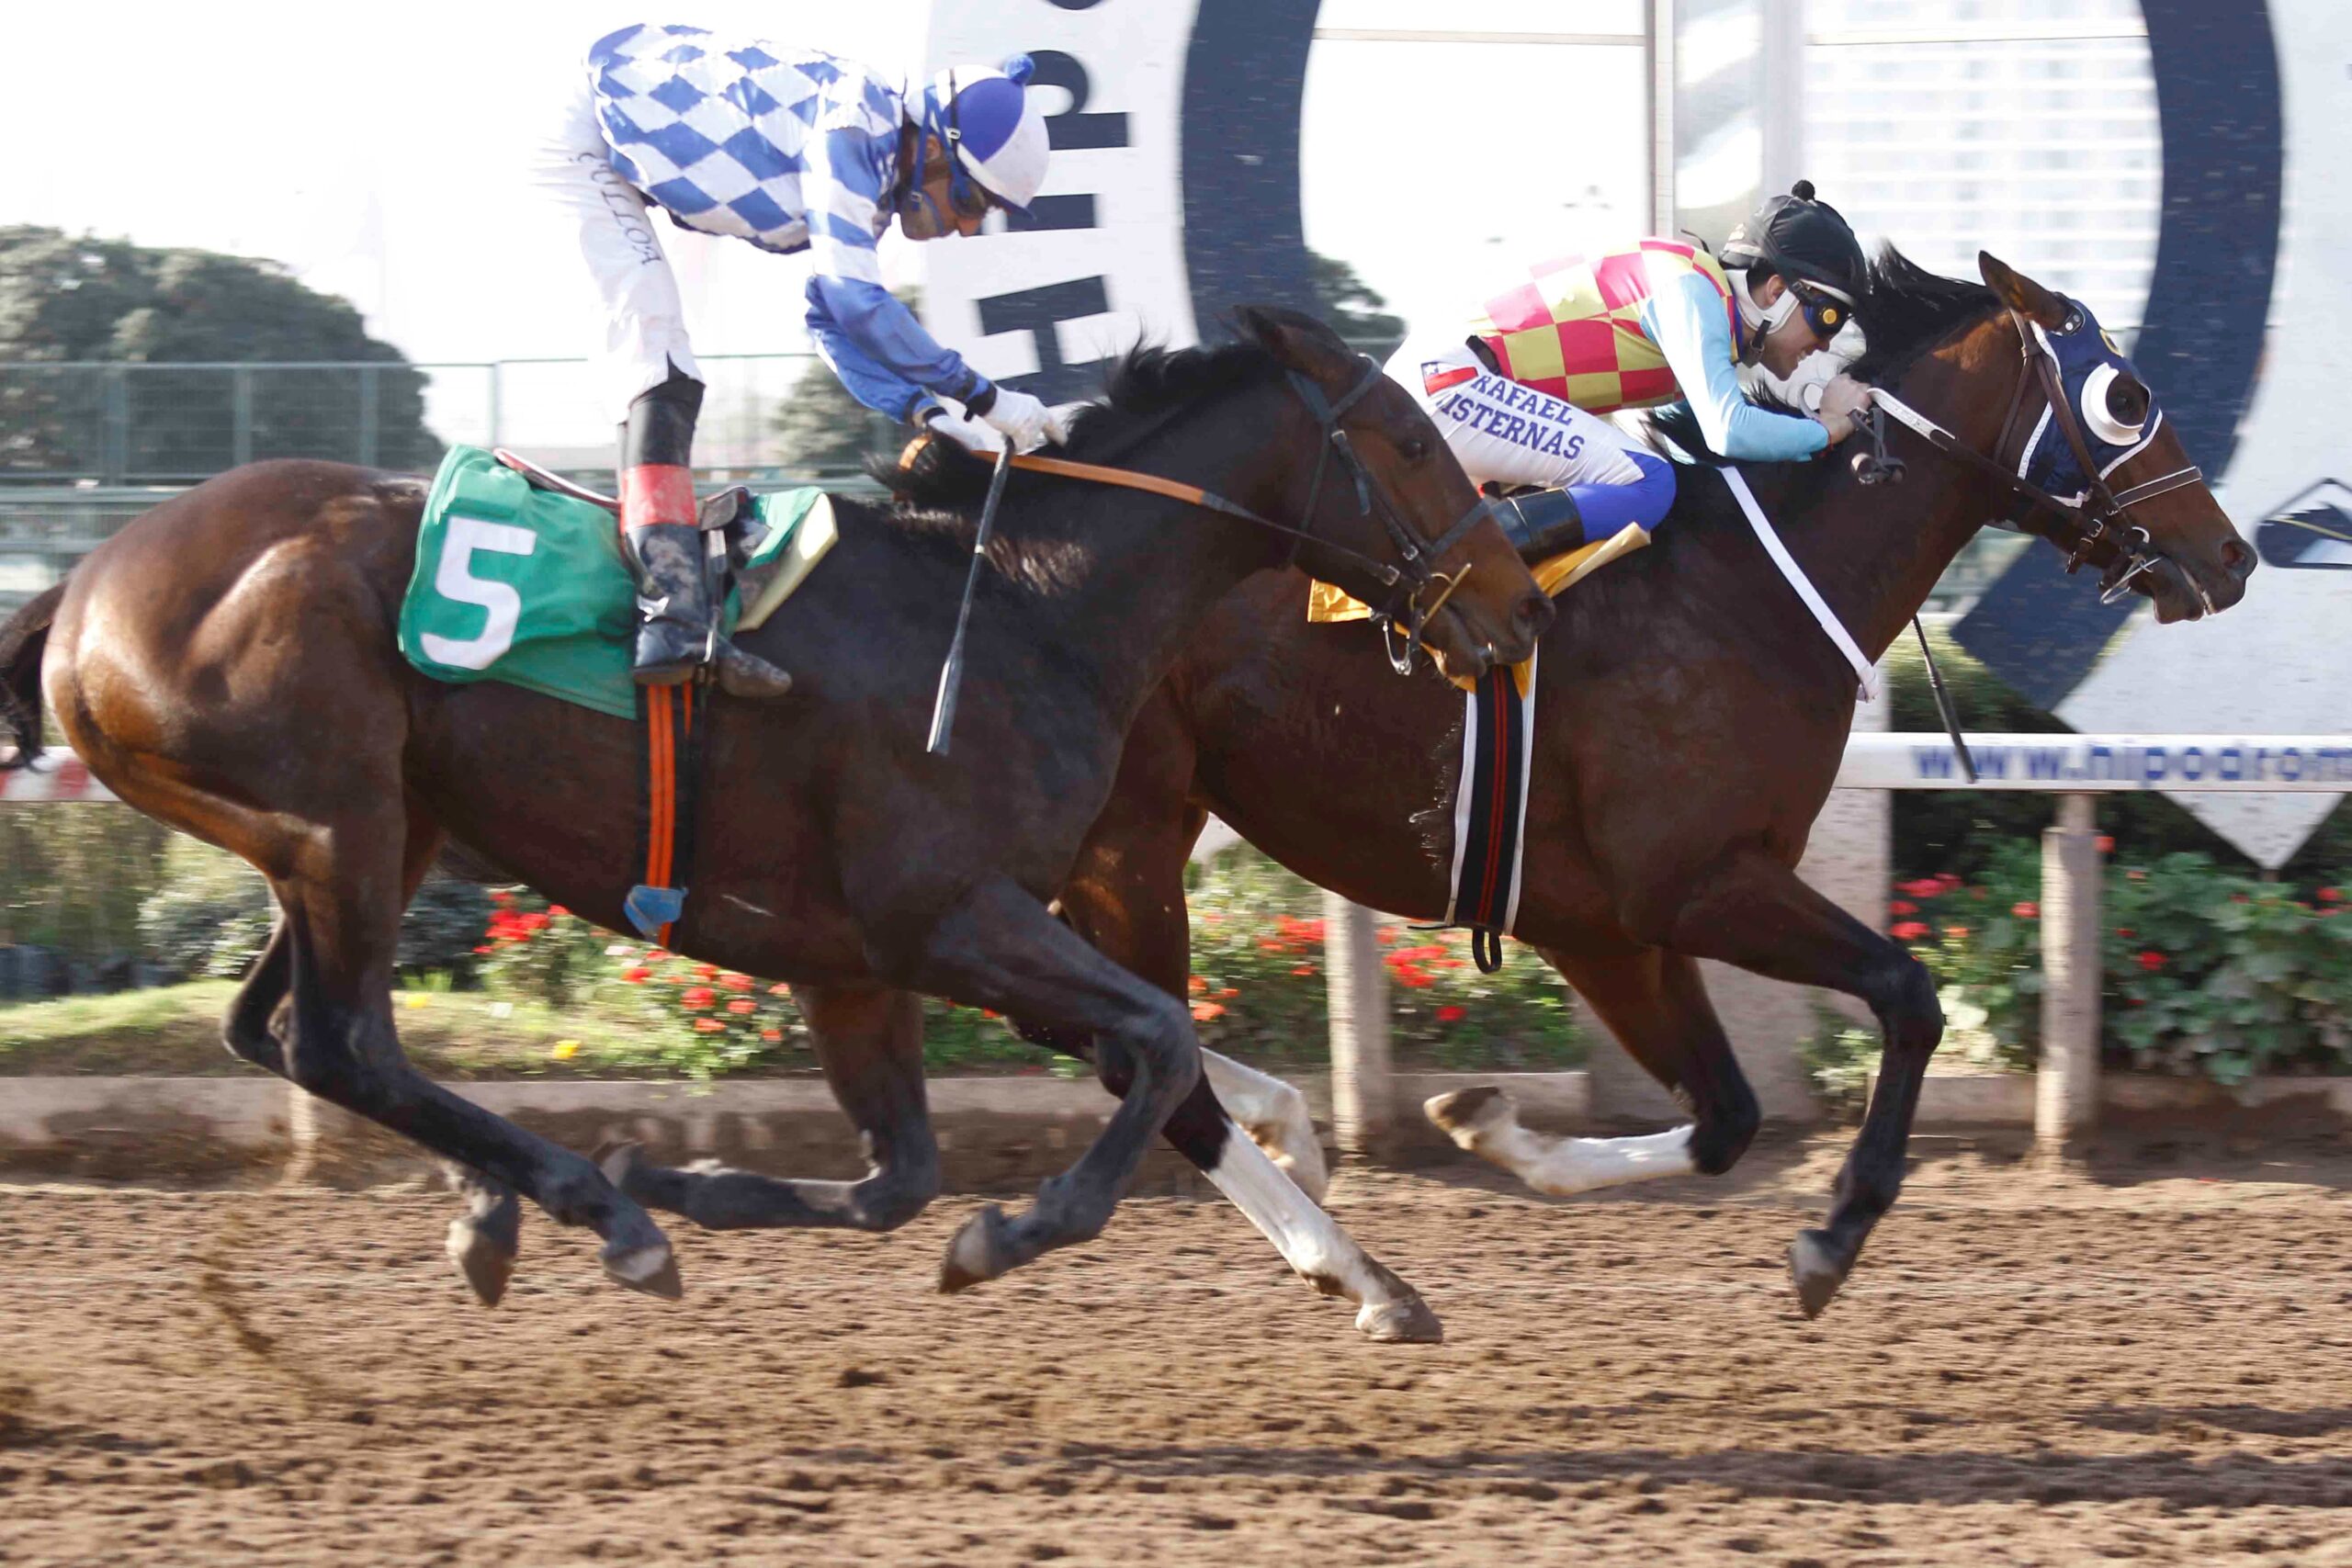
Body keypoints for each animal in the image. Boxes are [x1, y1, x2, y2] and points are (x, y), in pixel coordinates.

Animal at [0, 306, 1551, 1339]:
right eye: (1410, 439)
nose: (1519, 606)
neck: (1020, 606)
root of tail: (80, 586)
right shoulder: (949, 912)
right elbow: (1162, 1044)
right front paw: (1004, 1231)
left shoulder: (862, 958)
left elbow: (906, 1172)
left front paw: (693, 1178)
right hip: (342, 824)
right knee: (340, 1040)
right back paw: (590, 1208)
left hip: (364, 828)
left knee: (273, 1029)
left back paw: (521, 1201)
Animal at [1023, 251, 2255, 1318]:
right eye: (2126, 394)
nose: (2233, 558)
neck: (1748, 595)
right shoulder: (1689, 888)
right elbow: (1906, 995)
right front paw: (1834, 1233)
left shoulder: (1609, 927)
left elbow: (1728, 1119)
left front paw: (1489, 1128)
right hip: (1128, 839)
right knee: (1145, 1050)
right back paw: (1353, 1268)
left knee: (1110, 1033)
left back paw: (1293, 1134)